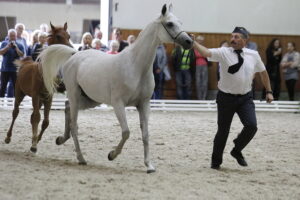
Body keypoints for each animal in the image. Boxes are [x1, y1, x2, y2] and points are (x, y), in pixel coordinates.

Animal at [38, 3, 192, 173]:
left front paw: (149, 165)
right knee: (74, 125)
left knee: (66, 108)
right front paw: (111, 155)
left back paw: (61, 139)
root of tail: (74, 55)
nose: (189, 41)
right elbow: (126, 132)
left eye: (180, 23)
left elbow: (145, 134)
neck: (136, 66)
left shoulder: (144, 104)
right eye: (170, 24)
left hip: (90, 100)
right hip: (74, 94)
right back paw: (81, 158)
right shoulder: (118, 104)